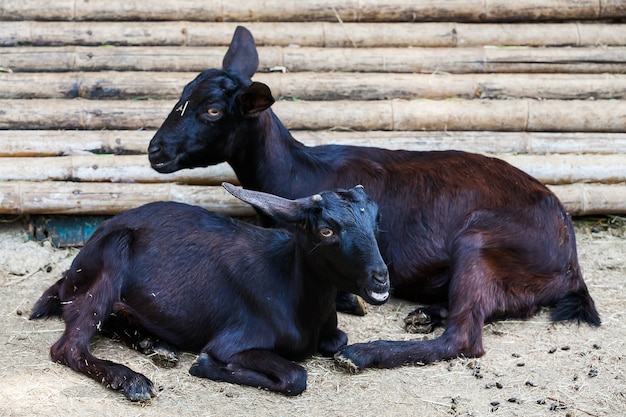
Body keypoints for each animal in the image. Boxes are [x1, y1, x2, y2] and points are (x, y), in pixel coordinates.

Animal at [31, 184, 390, 398]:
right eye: (327, 231)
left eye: (375, 223)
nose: (381, 279)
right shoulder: (235, 340)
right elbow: (295, 375)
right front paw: (205, 366)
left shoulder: (330, 333)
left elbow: (338, 341)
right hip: (113, 254)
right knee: (69, 346)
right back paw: (132, 381)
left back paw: (155, 345)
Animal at [147, 26, 600, 370]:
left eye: (212, 111)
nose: (155, 150)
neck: (295, 171)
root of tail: (570, 265)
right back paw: (424, 313)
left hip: (480, 241)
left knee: (464, 337)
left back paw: (364, 353)